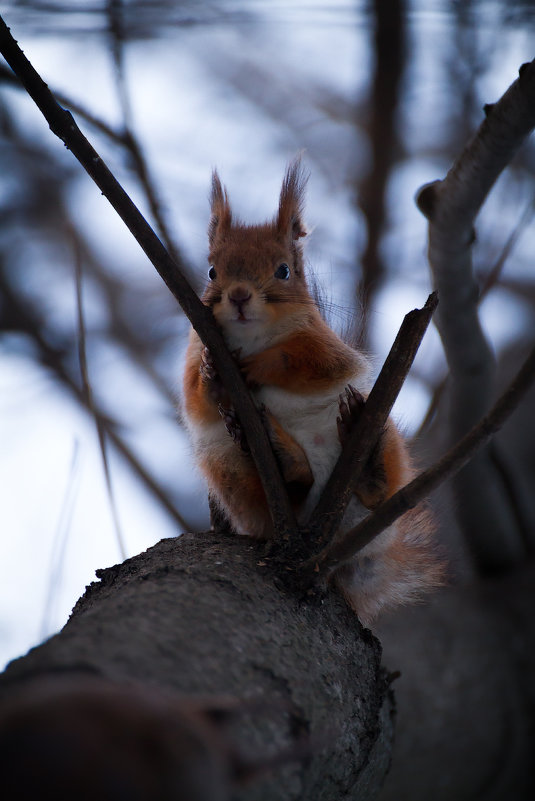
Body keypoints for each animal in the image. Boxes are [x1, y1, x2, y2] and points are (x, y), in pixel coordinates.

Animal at [184, 158, 444, 624]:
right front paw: (214, 375)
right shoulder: (195, 352)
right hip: (226, 466)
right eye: (212, 271)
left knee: (376, 491)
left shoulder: (326, 348)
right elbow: (199, 399)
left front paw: (259, 365)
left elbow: (306, 364)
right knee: (287, 491)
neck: (251, 338)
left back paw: (366, 461)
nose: (239, 296)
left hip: (383, 439)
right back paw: (286, 461)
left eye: (283, 270)